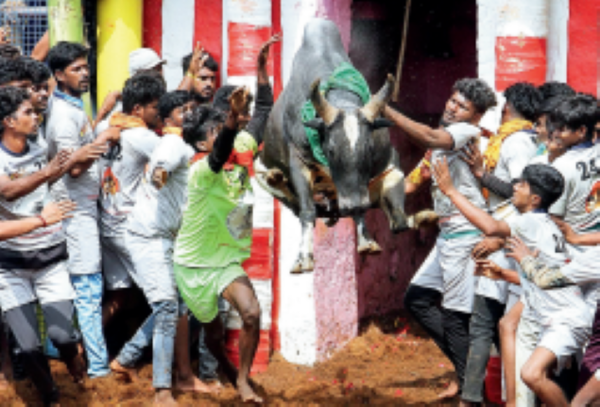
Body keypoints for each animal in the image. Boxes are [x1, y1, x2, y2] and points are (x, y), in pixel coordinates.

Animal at [258, 18, 408, 274]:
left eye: (369, 149)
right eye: (330, 150)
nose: (352, 205)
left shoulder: (387, 161)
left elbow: (395, 214)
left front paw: (367, 240)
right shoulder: (298, 161)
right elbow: (307, 210)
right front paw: (303, 258)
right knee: (292, 199)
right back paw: (276, 177)